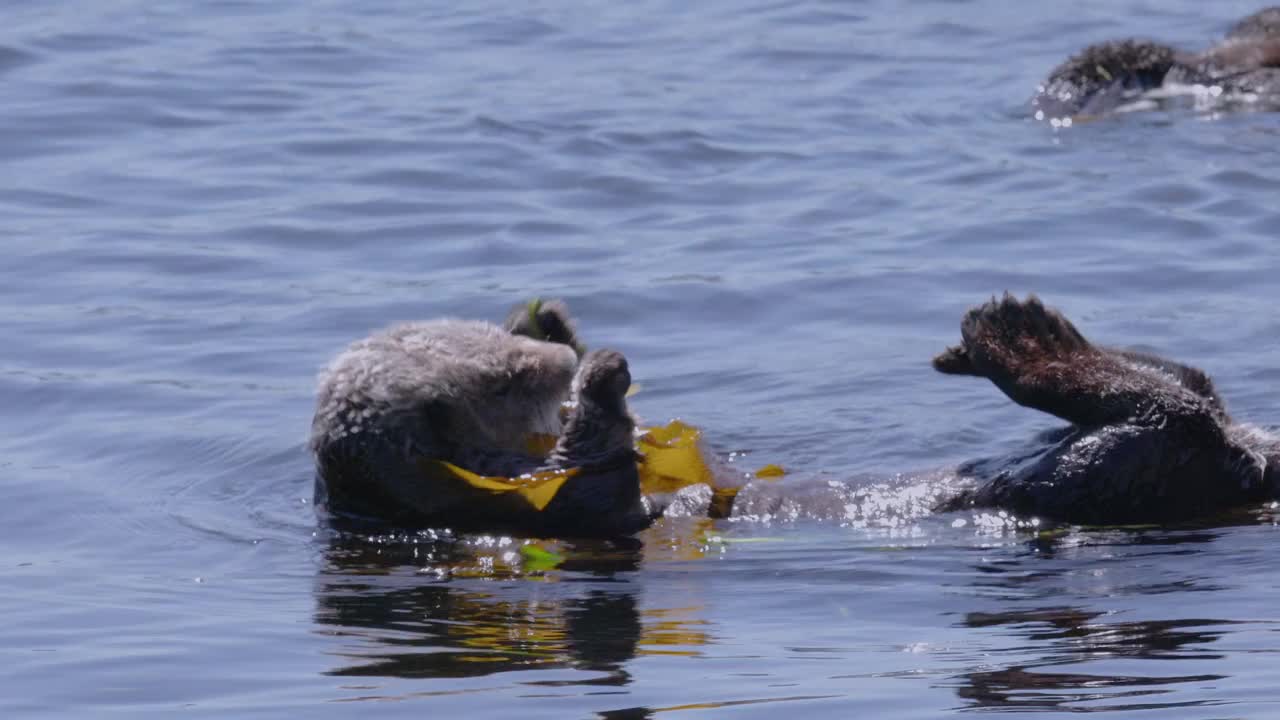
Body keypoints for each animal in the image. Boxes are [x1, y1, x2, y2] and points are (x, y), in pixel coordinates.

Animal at [307, 299, 650, 535]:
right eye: (503, 385)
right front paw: (603, 377)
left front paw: (546, 322)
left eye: (496, 334)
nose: (566, 361)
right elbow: (598, 490)